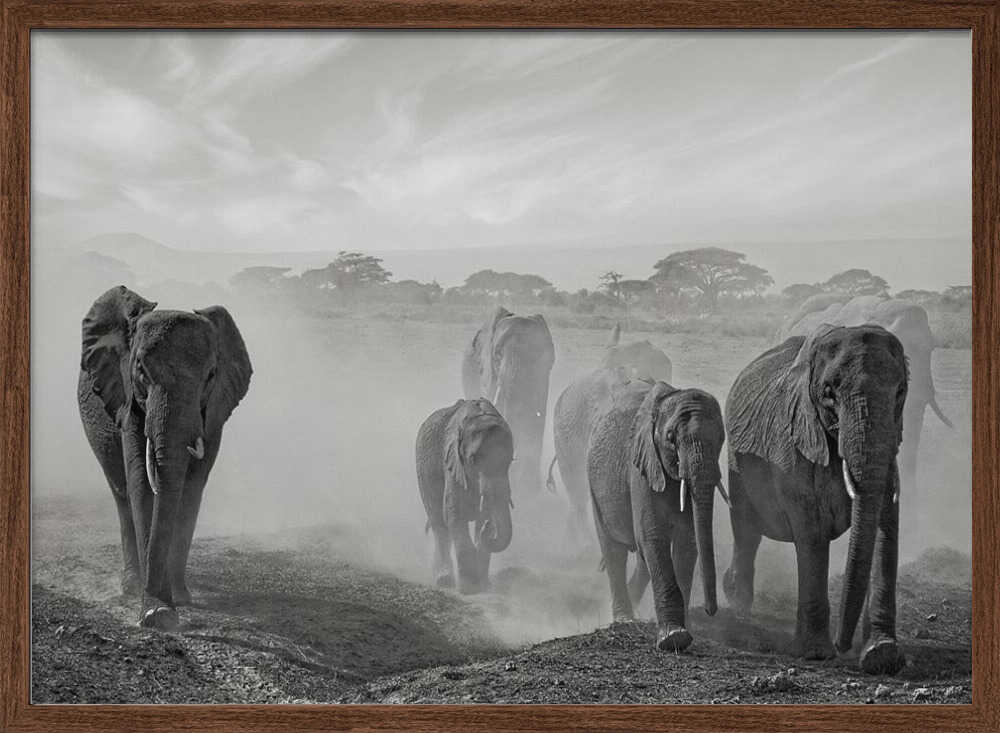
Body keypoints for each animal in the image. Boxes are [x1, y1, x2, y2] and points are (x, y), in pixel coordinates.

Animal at [77, 286, 252, 630]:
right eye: (141, 371)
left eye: (211, 375)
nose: (158, 613)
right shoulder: (127, 398)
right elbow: (140, 486)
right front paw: (156, 610)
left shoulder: (214, 411)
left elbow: (191, 489)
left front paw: (177, 601)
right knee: (121, 492)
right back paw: (132, 586)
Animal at [416, 398, 514, 594]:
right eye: (474, 459)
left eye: (510, 460)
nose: (488, 527)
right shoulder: (452, 462)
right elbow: (455, 514)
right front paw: (469, 590)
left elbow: (483, 515)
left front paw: (484, 587)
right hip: (423, 471)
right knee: (439, 524)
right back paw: (444, 580)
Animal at [462, 307, 554, 496]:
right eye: (497, 355)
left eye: (536, 356)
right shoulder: (488, 374)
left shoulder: (542, 379)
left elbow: (536, 423)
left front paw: (529, 492)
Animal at [587, 379, 726, 651]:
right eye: (671, 438)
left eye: (721, 438)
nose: (710, 610)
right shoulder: (641, 467)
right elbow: (654, 535)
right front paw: (674, 638)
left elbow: (687, 540)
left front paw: (685, 630)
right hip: (594, 487)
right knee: (614, 551)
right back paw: (625, 619)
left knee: (641, 558)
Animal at [725, 324, 907, 673]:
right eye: (828, 394)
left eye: (901, 392)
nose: (843, 645)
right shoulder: (794, 445)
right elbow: (810, 533)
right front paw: (815, 654)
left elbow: (886, 526)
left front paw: (880, 655)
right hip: (736, 464)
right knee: (746, 531)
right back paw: (738, 611)